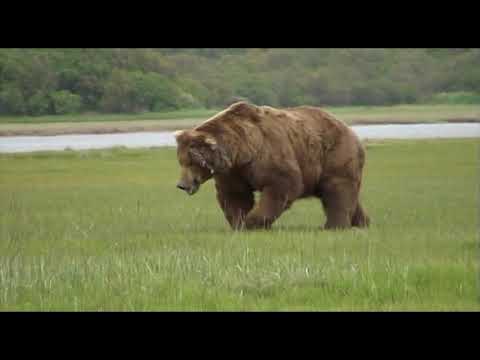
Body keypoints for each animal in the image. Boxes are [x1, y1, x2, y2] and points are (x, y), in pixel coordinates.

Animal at [174, 101, 370, 231]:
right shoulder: (233, 172)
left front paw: (252, 222)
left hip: (334, 154)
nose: (182, 185)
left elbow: (281, 186)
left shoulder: (269, 154)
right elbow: (235, 195)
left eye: (191, 161)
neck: (242, 151)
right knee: (346, 194)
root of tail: (350, 129)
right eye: (180, 161)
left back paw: (335, 226)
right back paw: (362, 222)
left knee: (337, 190)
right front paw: (239, 223)